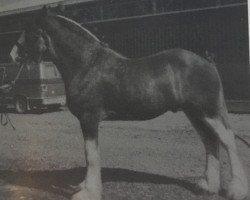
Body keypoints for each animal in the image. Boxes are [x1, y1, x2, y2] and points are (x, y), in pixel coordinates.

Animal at [21, 7, 248, 200]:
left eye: (31, 33)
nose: (15, 56)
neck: (87, 64)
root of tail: (207, 62)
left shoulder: (89, 119)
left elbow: (91, 155)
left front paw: (88, 192)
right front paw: (84, 187)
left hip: (207, 112)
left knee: (227, 140)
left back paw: (236, 190)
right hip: (195, 114)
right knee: (210, 141)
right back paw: (207, 186)